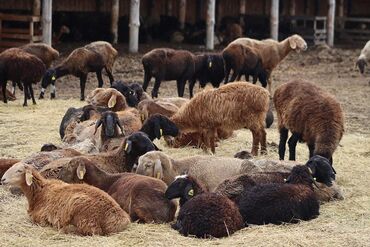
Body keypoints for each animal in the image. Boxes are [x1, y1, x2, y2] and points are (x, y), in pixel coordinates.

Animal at [1, 162, 130, 235]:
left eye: (19, 170)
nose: (2, 179)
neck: (40, 192)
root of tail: (119, 220)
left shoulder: (40, 218)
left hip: (83, 214)